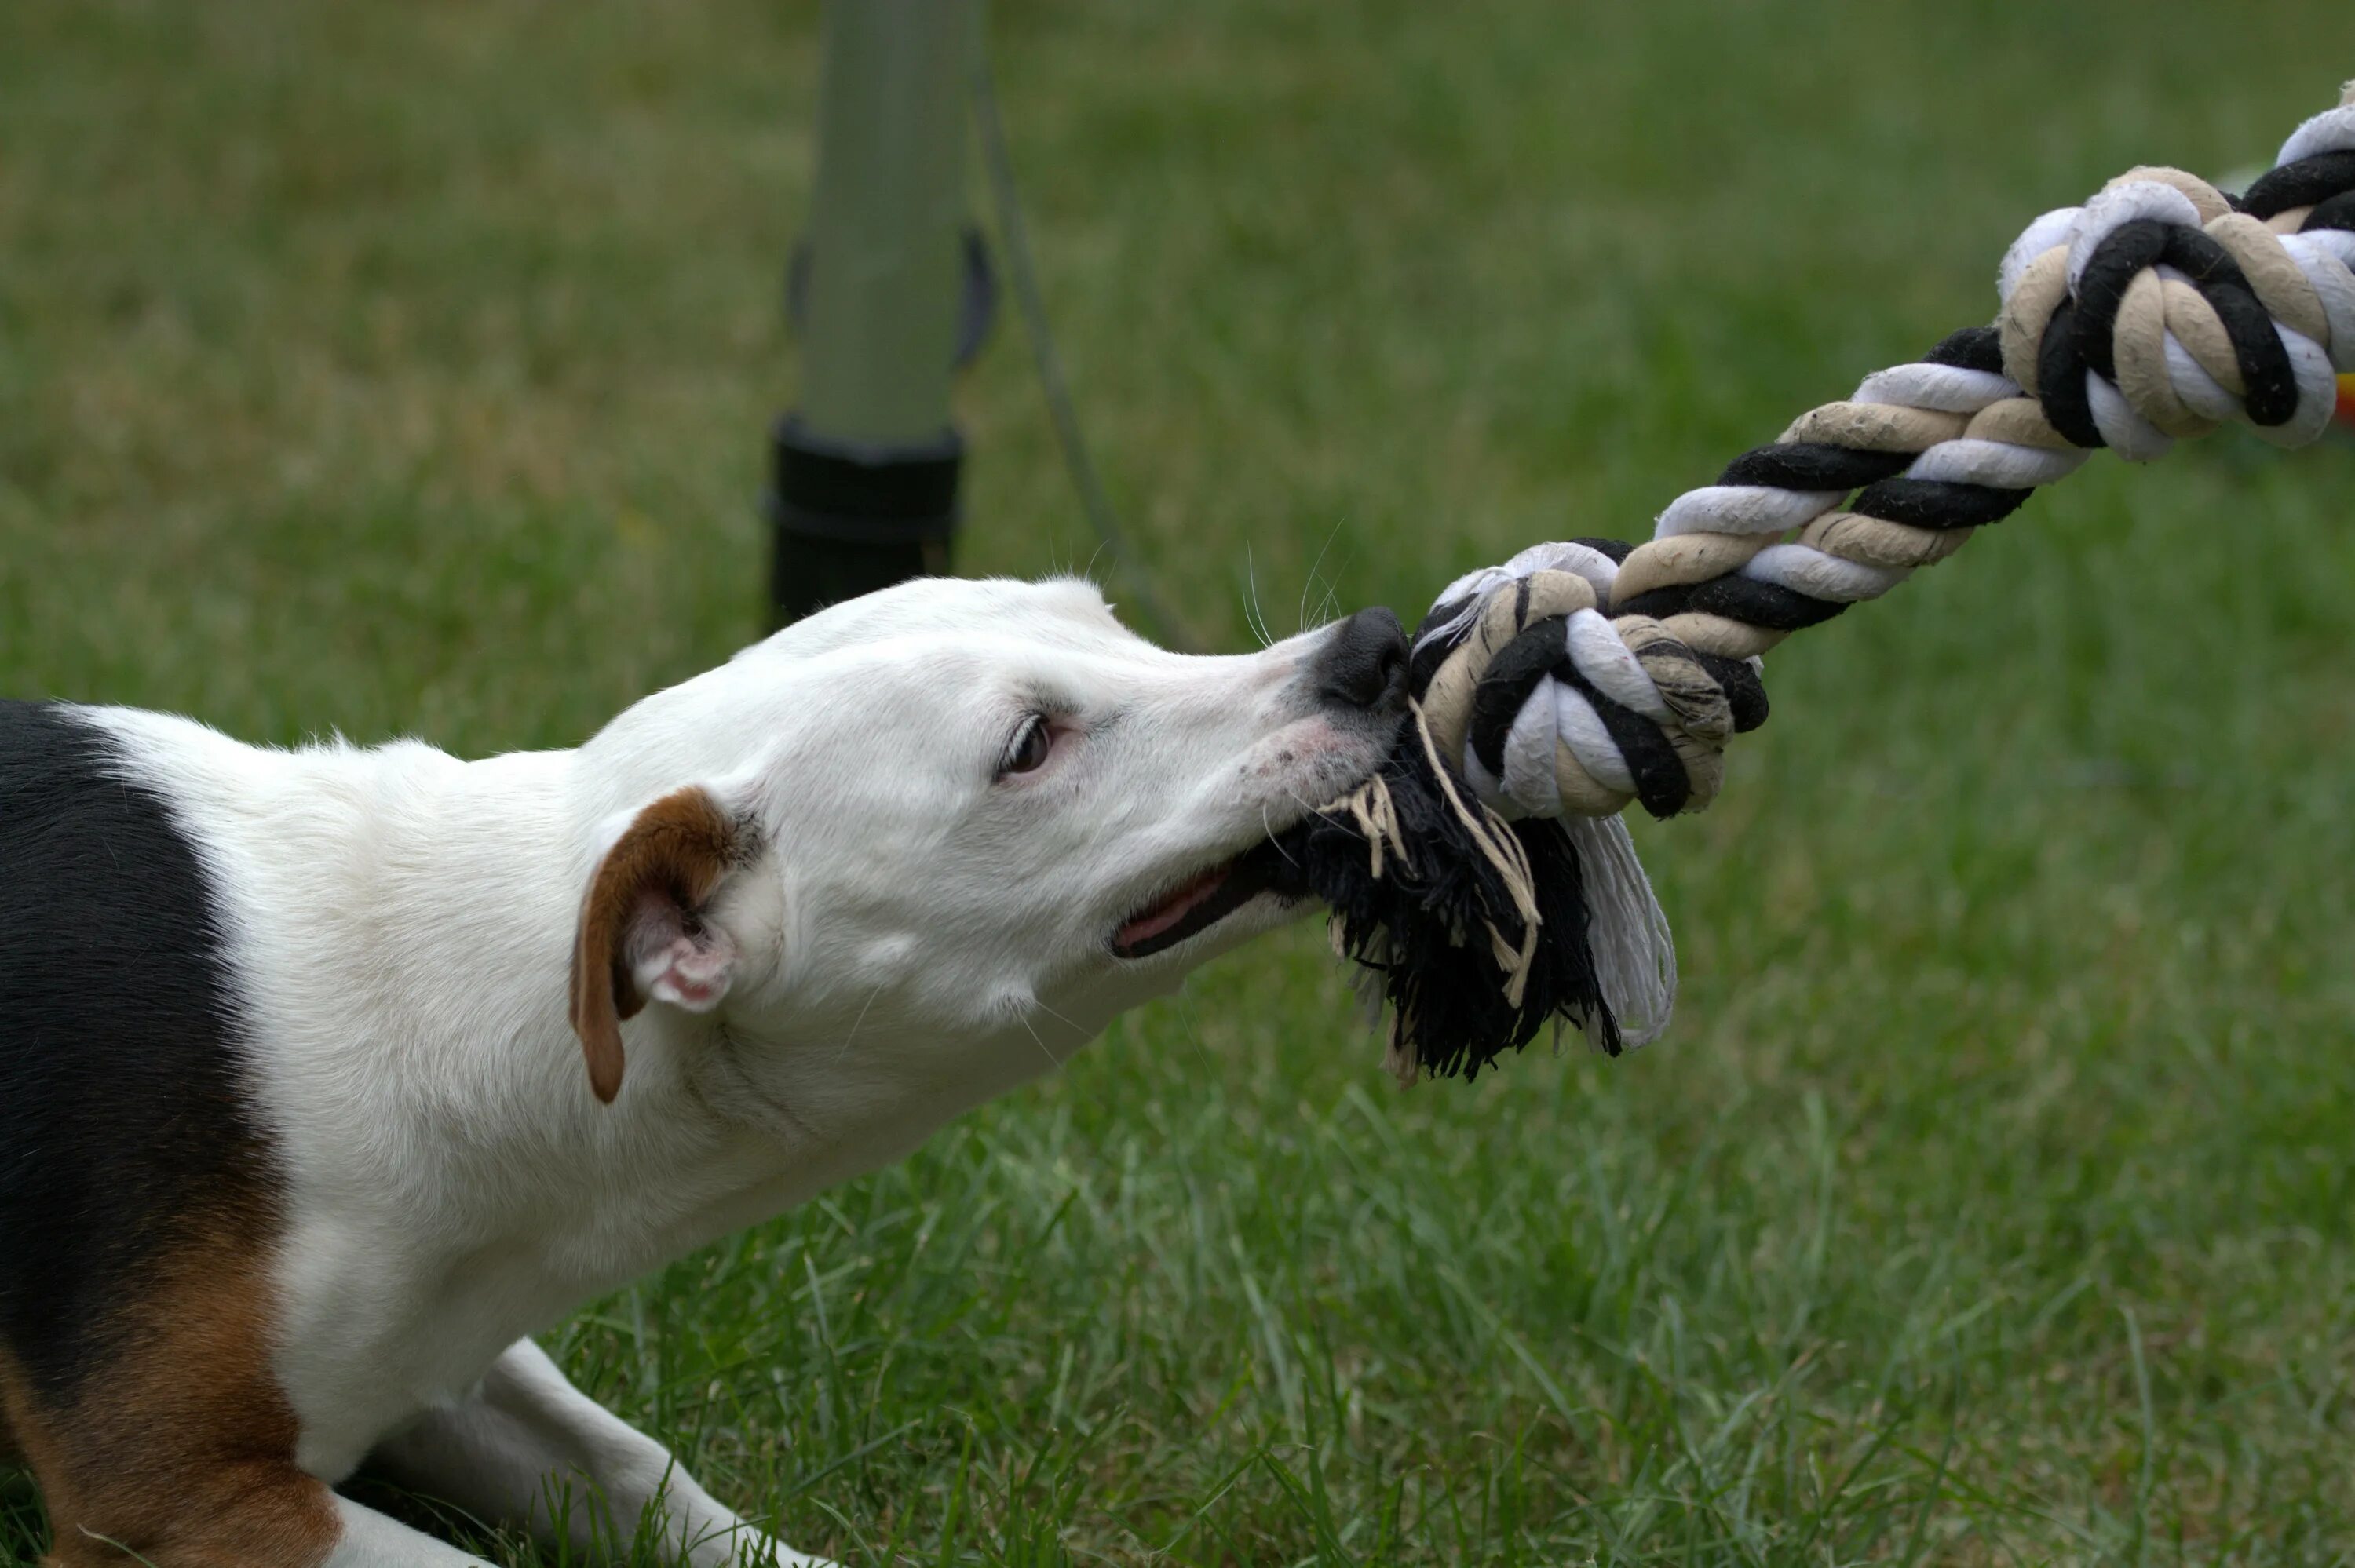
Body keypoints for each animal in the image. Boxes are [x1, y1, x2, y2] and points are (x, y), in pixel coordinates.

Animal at [0, 577, 1394, 1563]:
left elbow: (640, 1472)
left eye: (1109, 619)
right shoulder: (170, 1499)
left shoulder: (442, 1361)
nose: (1378, 646)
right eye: (1029, 746)